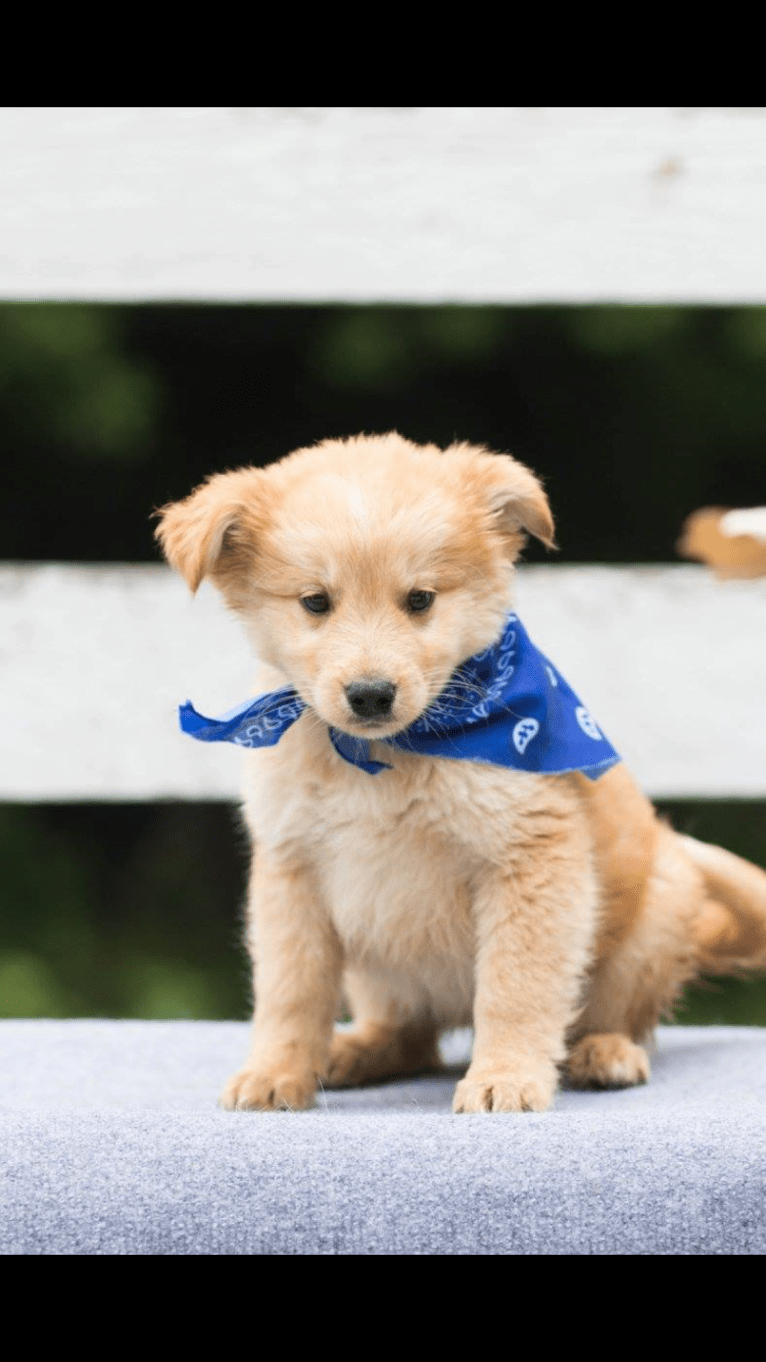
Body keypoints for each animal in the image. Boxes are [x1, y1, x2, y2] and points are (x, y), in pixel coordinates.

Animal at [151, 430, 763, 1111]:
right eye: (316, 602)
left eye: (420, 600)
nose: (370, 695)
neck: (384, 760)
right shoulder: (292, 871)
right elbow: (290, 991)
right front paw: (276, 1072)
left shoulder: (531, 857)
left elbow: (515, 986)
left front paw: (506, 1078)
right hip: (377, 966)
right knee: (410, 1036)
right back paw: (352, 1052)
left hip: (652, 918)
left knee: (615, 1017)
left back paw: (603, 1054)